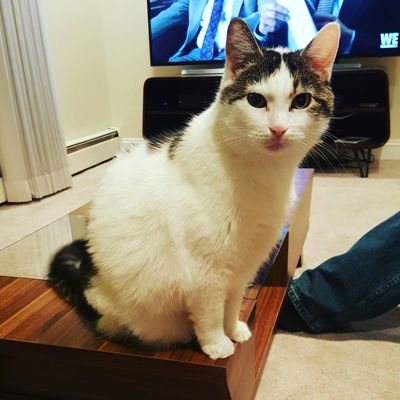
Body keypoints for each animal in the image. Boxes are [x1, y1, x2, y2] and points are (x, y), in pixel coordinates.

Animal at [48, 18, 340, 360]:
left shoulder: (243, 267)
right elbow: (211, 312)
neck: (263, 176)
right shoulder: (206, 274)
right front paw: (217, 343)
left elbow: (232, 304)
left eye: (301, 101)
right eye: (256, 100)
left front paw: (234, 330)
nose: (278, 129)